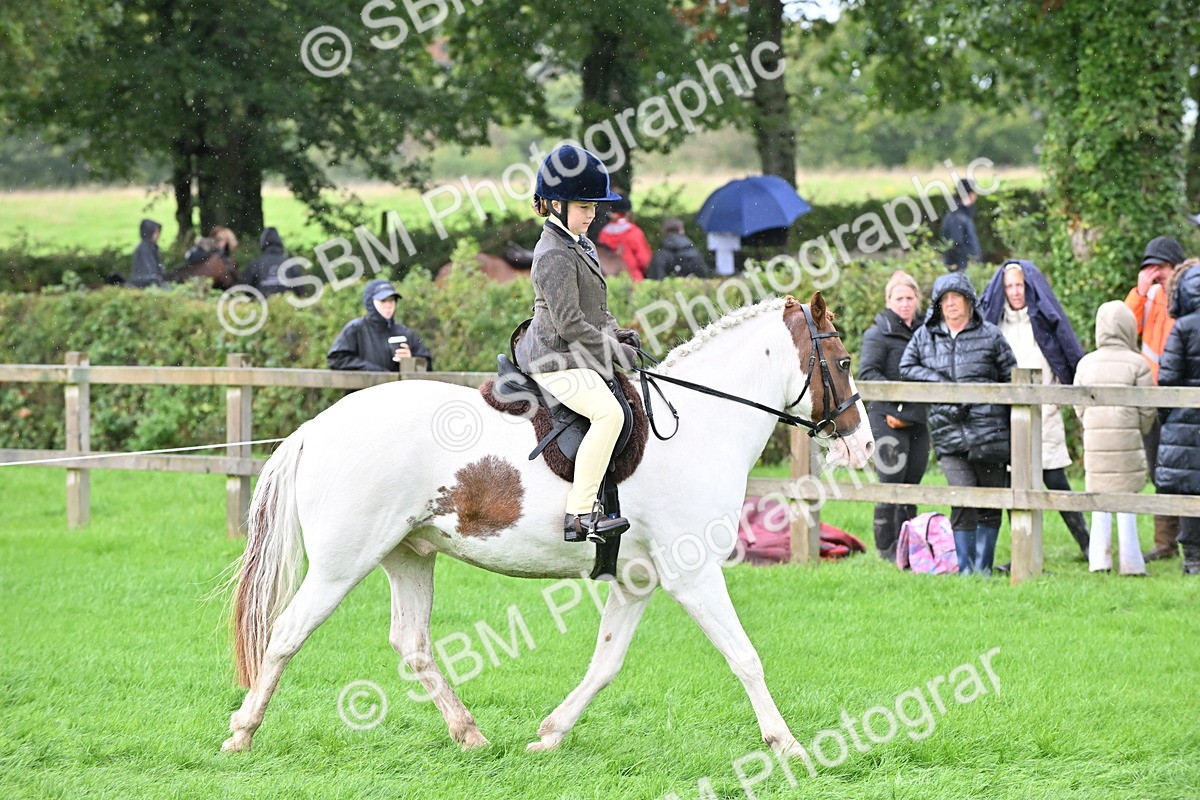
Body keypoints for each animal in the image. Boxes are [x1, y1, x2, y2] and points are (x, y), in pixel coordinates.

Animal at [220, 292, 875, 756]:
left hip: (409, 554)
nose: (864, 445)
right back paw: (242, 732)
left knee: (413, 645)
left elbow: (605, 663)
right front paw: (788, 745)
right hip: (341, 563)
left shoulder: (638, 580)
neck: (699, 426)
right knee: (287, 633)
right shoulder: (693, 575)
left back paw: (469, 733)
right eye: (843, 361)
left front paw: (551, 733)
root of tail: (317, 427)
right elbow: (745, 656)